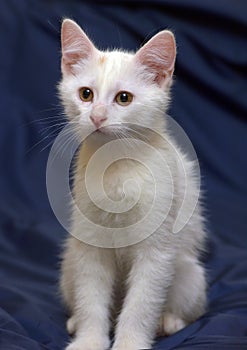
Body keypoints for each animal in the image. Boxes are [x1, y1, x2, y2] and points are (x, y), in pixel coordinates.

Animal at [58, 19, 206, 350]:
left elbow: (142, 304)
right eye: (85, 94)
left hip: (190, 274)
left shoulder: (157, 250)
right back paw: (75, 322)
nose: (97, 116)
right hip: (69, 262)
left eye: (123, 98)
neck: (116, 168)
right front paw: (89, 339)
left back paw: (169, 321)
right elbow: (91, 298)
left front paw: (130, 343)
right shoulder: (90, 245)